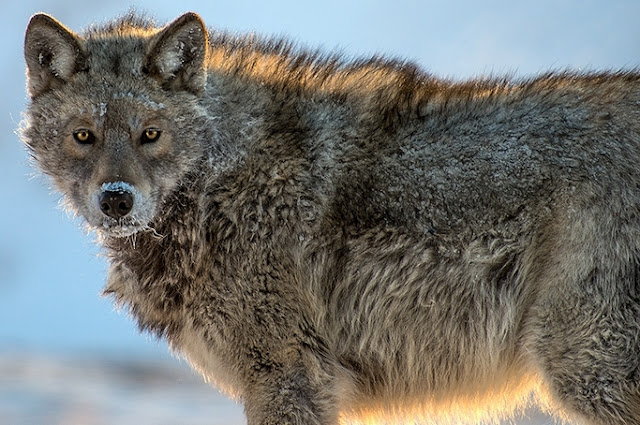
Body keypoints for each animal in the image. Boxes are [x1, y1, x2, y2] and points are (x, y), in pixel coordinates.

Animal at [21, 11, 640, 425]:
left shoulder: (290, 377)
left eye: (150, 135)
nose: (116, 199)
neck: (215, 180)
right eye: (84, 136)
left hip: (584, 367)